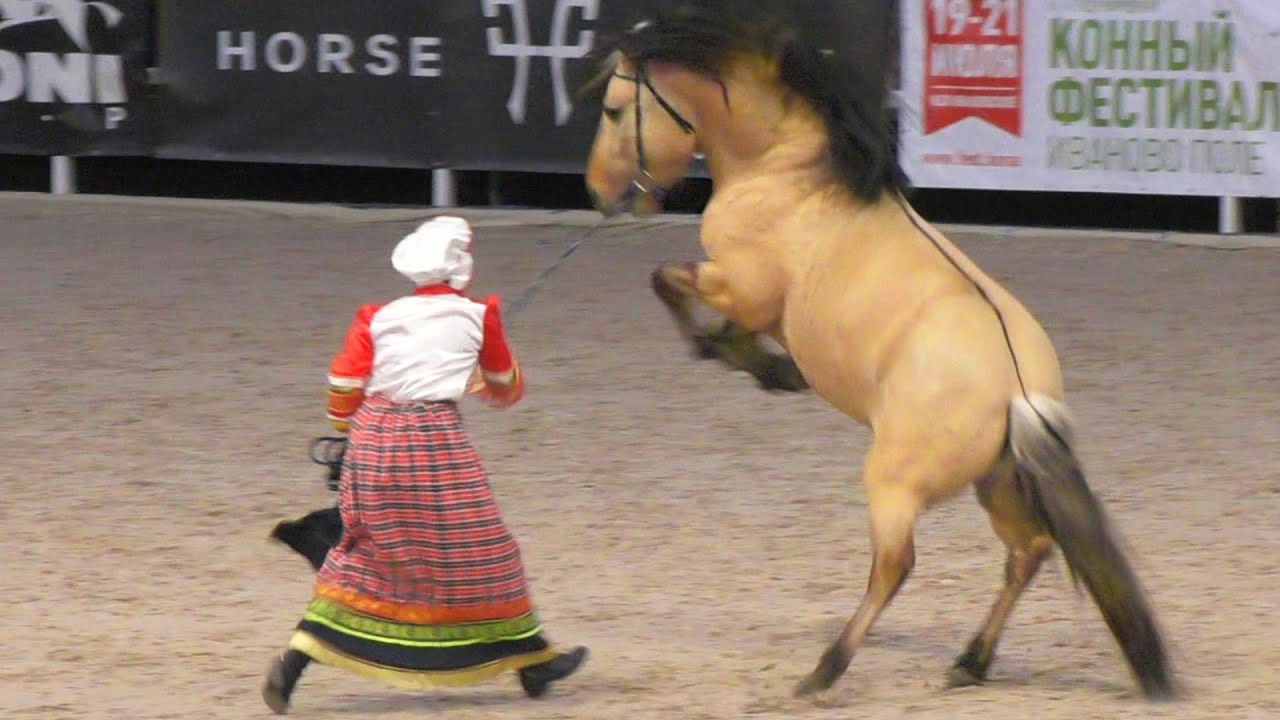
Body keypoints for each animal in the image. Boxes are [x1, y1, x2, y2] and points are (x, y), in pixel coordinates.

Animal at [582, 1, 1175, 700]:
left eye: (615, 109)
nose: (597, 191)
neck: (783, 171)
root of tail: (1021, 392)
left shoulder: (740, 288)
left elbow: (668, 280)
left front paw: (744, 359)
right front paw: (767, 366)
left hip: (894, 481)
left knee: (896, 565)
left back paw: (825, 670)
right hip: (996, 483)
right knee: (1027, 552)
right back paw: (969, 662)